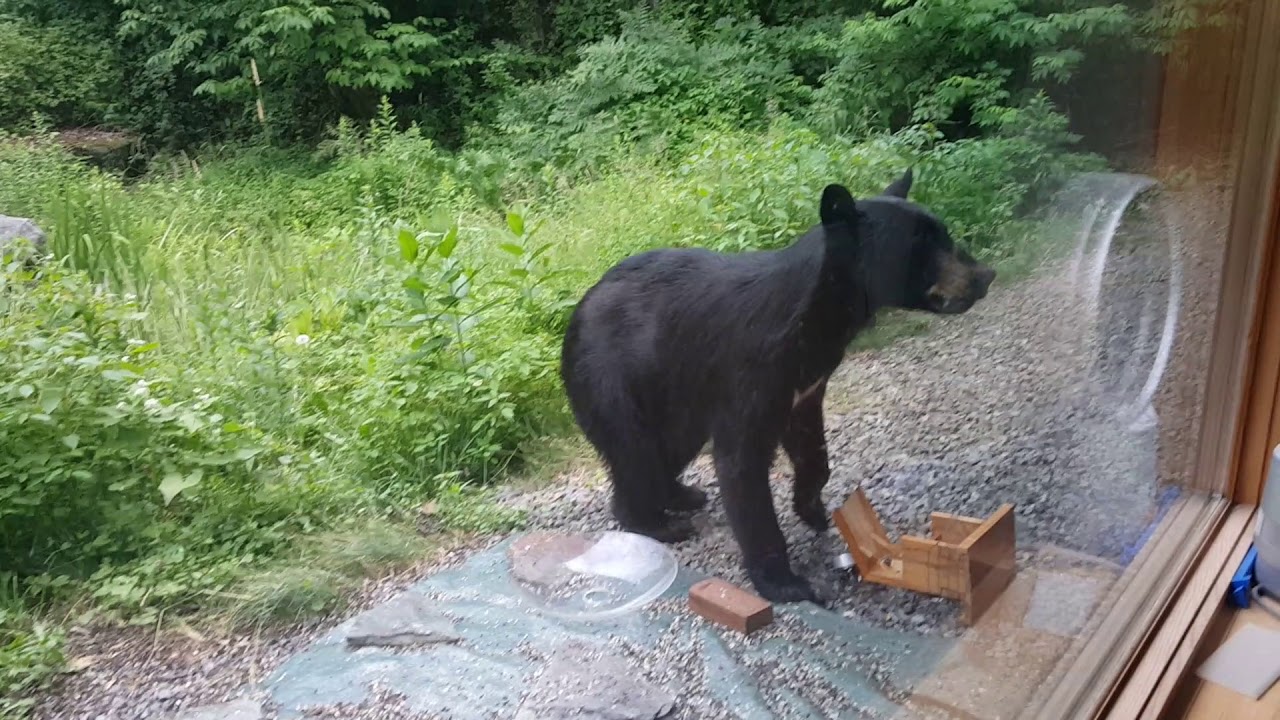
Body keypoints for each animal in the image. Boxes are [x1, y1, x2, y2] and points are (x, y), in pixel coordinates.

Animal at [559, 169, 996, 603]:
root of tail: (578, 310)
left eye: (944, 233)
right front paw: (784, 582)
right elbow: (741, 463)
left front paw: (811, 507)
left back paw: (681, 495)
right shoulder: (750, 372)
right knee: (635, 451)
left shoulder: (806, 382)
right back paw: (655, 523)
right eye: (920, 246)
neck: (818, 319)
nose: (984, 276)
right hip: (613, 378)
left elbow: (811, 444)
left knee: (669, 447)